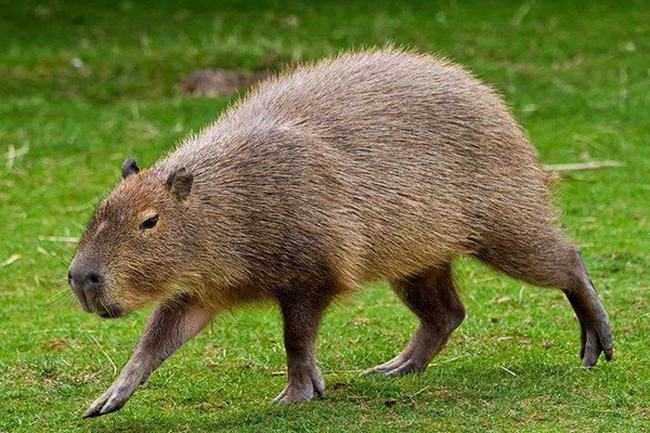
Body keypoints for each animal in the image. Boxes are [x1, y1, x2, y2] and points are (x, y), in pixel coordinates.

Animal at [68, 49, 612, 418]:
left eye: (149, 220)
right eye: (101, 208)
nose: (82, 278)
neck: (234, 196)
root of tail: (497, 104)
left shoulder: (312, 269)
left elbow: (296, 334)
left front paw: (297, 393)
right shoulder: (202, 285)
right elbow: (160, 335)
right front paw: (106, 398)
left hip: (505, 225)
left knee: (568, 259)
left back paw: (597, 342)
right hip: (417, 260)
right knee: (447, 312)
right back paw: (393, 368)